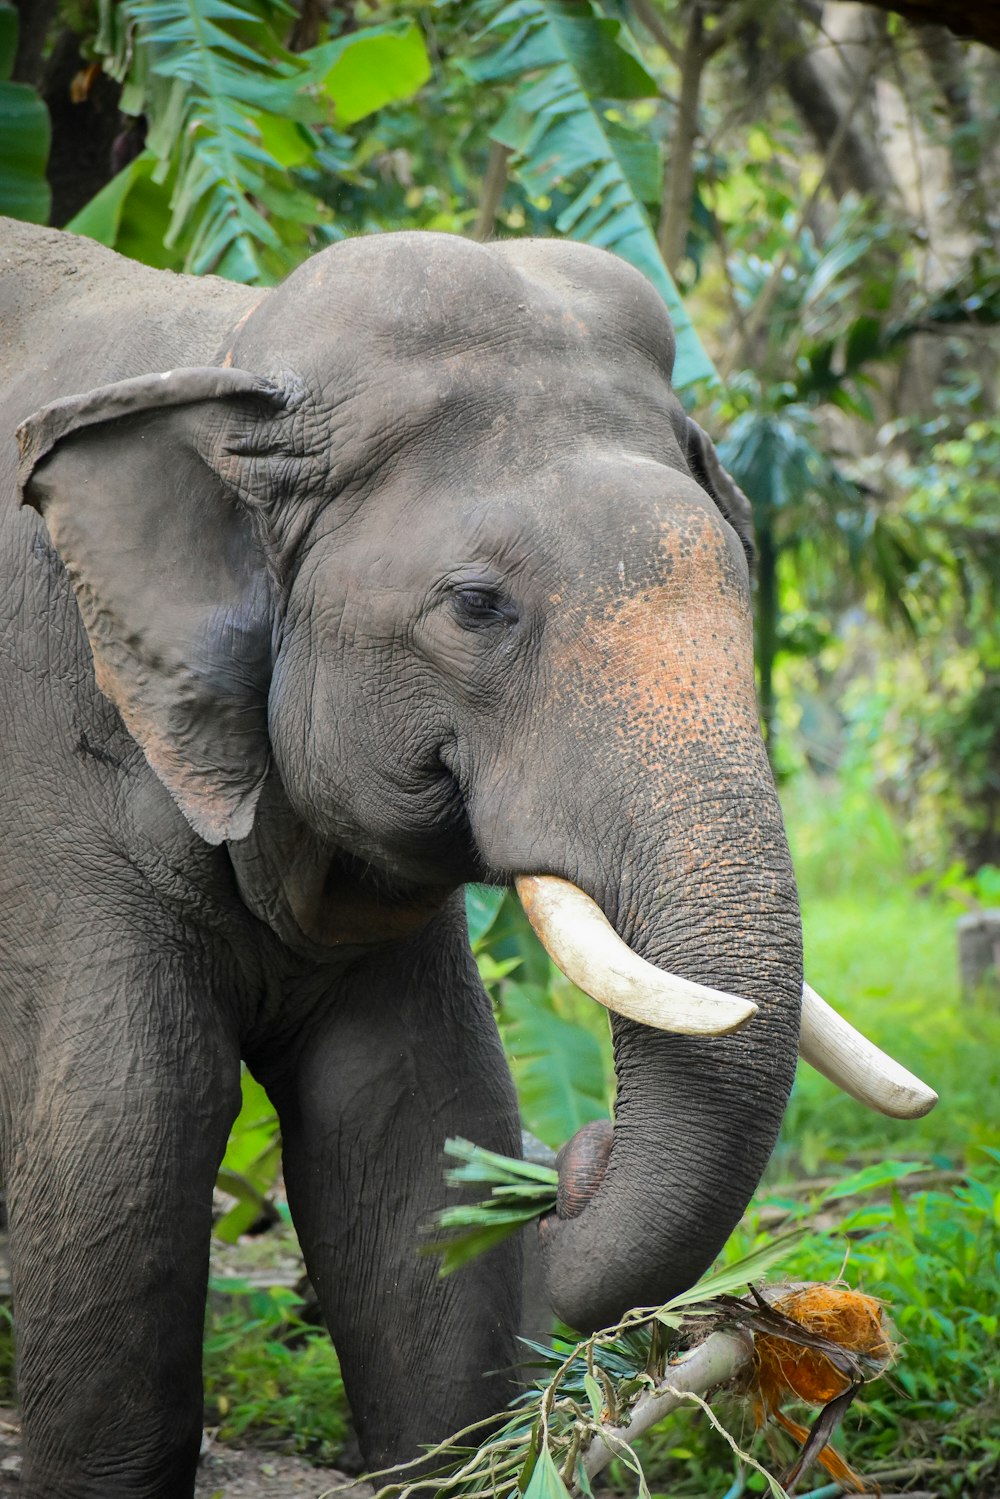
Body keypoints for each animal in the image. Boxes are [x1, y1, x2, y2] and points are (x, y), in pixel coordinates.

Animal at [1, 214, 941, 1499]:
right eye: (476, 604)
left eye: (744, 573)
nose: (576, 1156)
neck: (233, 348)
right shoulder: (53, 789)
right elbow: (124, 1136)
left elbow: (416, 1126)